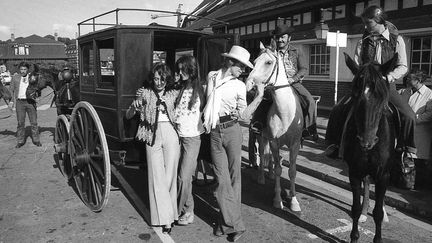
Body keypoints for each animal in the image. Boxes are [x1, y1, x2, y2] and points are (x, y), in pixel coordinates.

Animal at [246, 40, 304, 212]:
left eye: (268, 62)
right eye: (254, 62)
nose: (248, 84)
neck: (285, 112)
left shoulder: (294, 144)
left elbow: (291, 171)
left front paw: (294, 201)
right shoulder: (273, 141)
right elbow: (279, 168)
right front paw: (278, 200)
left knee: (270, 157)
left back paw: (270, 174)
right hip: (262, 136)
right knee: (262, 152)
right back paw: (261, 177)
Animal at [342, 53, 396, 243]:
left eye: (382, 97)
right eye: (354, 95)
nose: (366, 142)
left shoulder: (383, 175)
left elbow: (378, 212)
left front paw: (378, 237)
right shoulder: (354, 172)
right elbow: (355, 208)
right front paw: (354, 236)